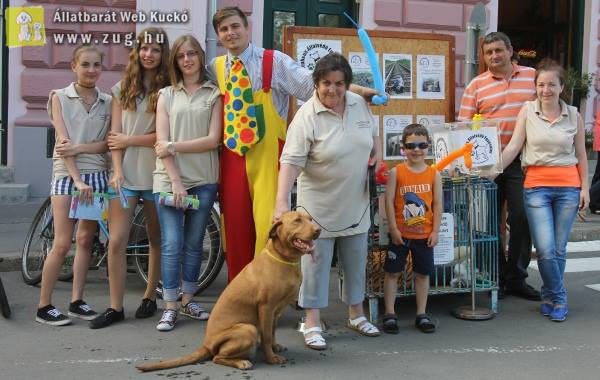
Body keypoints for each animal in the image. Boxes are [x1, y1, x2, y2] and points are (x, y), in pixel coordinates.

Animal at [137, 211, 322, 372]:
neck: (285, 260)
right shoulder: (266, 308)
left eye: (310, 219)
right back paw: (242, 362)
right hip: (247, 329)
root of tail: (206, 344)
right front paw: (270, 357)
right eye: (297, 220)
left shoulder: (276, 311)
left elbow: (272, 331)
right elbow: (267, 335)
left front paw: (274, 346)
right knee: (217, 357)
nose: (318, 230)